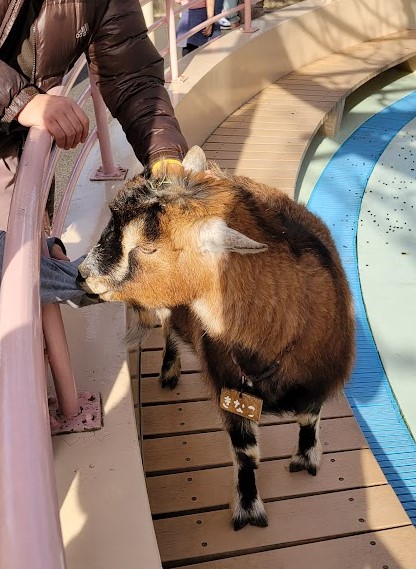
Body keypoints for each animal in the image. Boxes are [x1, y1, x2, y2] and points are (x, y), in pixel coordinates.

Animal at [78, 145, 354, 528]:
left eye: (148, 248)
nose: (82, 275)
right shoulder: (229, 386)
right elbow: (246, 453)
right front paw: (249, 509)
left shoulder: (319, 377)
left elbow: (309, 417)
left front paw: (306, 458)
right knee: (169, 329)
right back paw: (168, 371)